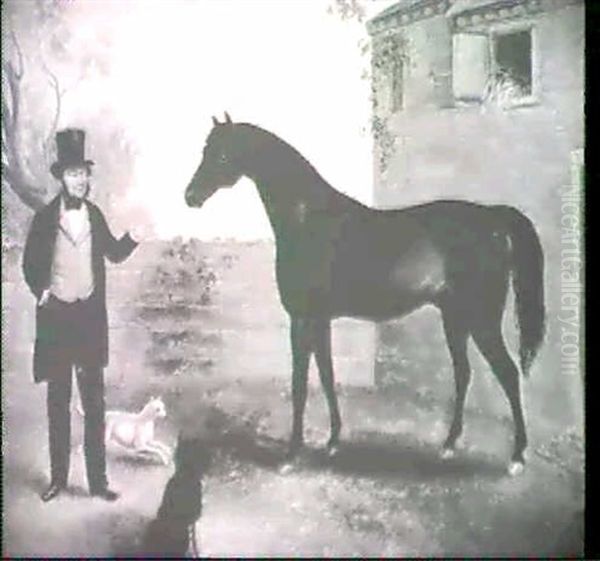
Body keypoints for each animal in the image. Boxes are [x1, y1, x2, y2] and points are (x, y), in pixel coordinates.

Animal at [183, 116, 544, 474]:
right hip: (454, 318)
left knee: (508, 374)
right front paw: (333, 441)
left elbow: (299, 385)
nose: (190, 196)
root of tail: (492, 217)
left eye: (222, 155)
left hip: (481, 321)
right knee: (463, 374)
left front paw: (291, 454)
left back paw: (516, 458)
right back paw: (449, 445)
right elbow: (327, 376)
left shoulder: (302, 319)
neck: (309, 219)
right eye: (204, 150)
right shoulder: (321, 320)